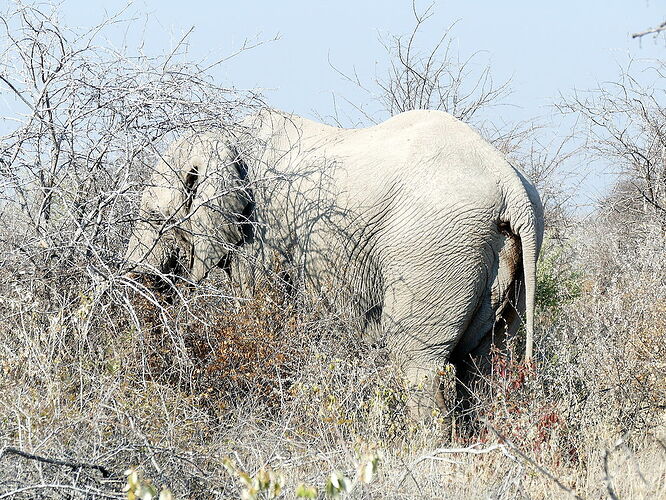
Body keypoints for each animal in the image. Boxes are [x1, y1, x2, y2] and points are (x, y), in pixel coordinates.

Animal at [123, 108, 540, 418]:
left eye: (155, 217)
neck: (222, 138)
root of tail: (511, 186)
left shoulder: (262, 233)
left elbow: (259, 312)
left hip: (433, 250)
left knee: (419, 363)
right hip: (503, 260)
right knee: (487, 362)